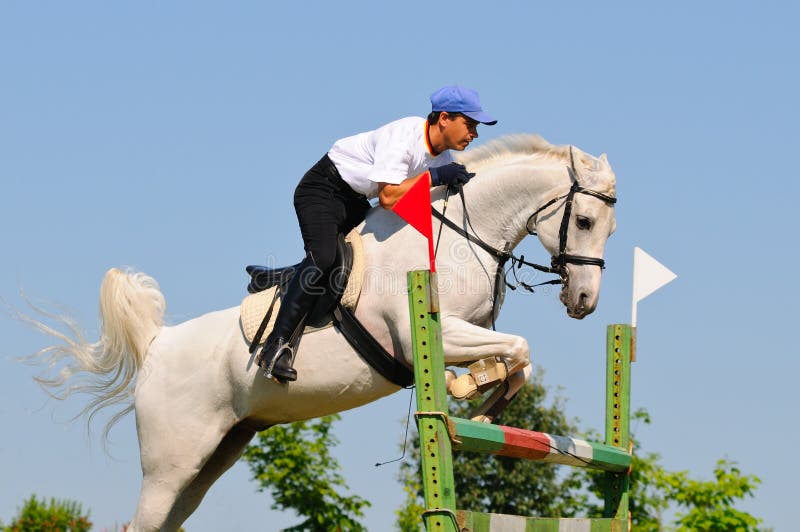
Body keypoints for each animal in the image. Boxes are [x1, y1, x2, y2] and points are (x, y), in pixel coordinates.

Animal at [28, 133, 620, 528]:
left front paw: (483, 400)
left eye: (611, 228)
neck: (458, 234)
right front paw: (469, 387)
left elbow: (518, 357)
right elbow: (517, 346)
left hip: (214, 453)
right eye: (584, 221)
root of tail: (157, 345)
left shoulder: (468, 328)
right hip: (169, 462)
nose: (585, 301)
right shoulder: (429, 336)